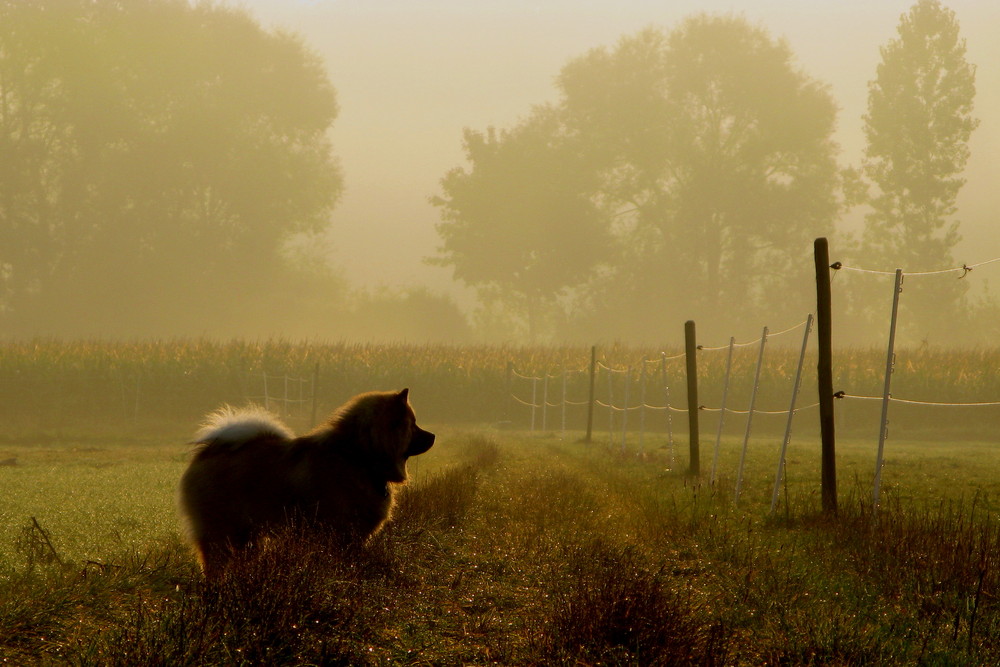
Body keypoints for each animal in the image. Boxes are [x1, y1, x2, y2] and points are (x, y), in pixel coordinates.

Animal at [179, 388, 434, 576]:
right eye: (413, 424)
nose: (432, 435)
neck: (358, 457)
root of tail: (209, 451)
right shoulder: (339, 534)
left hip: (248, 536)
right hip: (220, 533)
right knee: (214, 567)